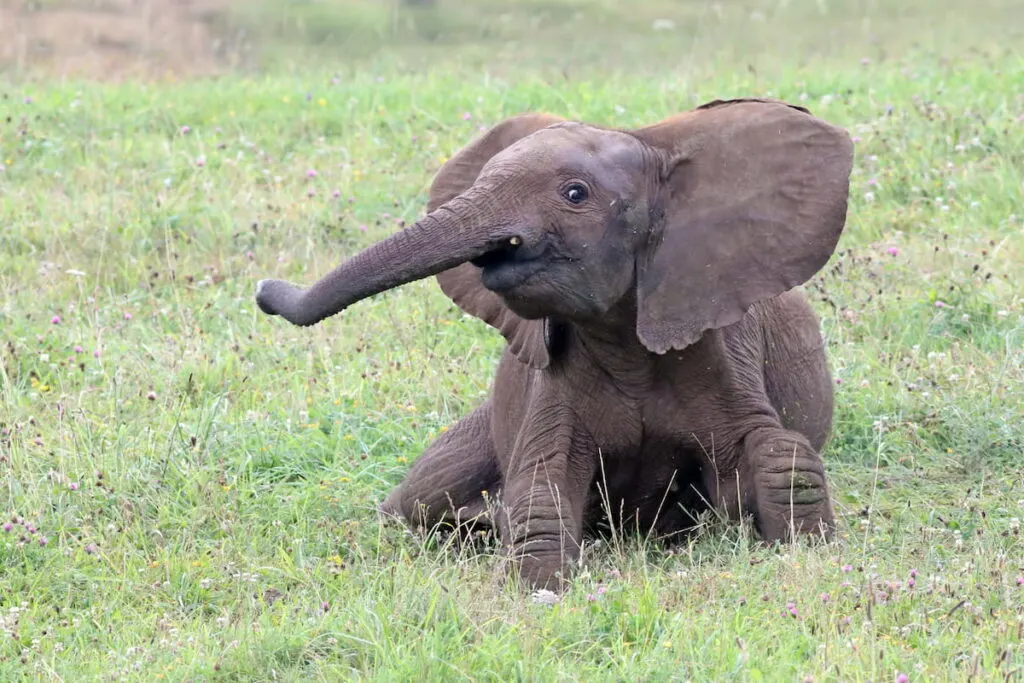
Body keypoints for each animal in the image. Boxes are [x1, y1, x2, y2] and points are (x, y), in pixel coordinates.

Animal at [256, 97, 856, 593]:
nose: (263, 291)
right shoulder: (552, 378)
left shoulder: (722, 343)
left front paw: (798, 543)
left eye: (575, 194)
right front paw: (538, 583)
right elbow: (543, 480)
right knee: (418, 500)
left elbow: (777, 453)